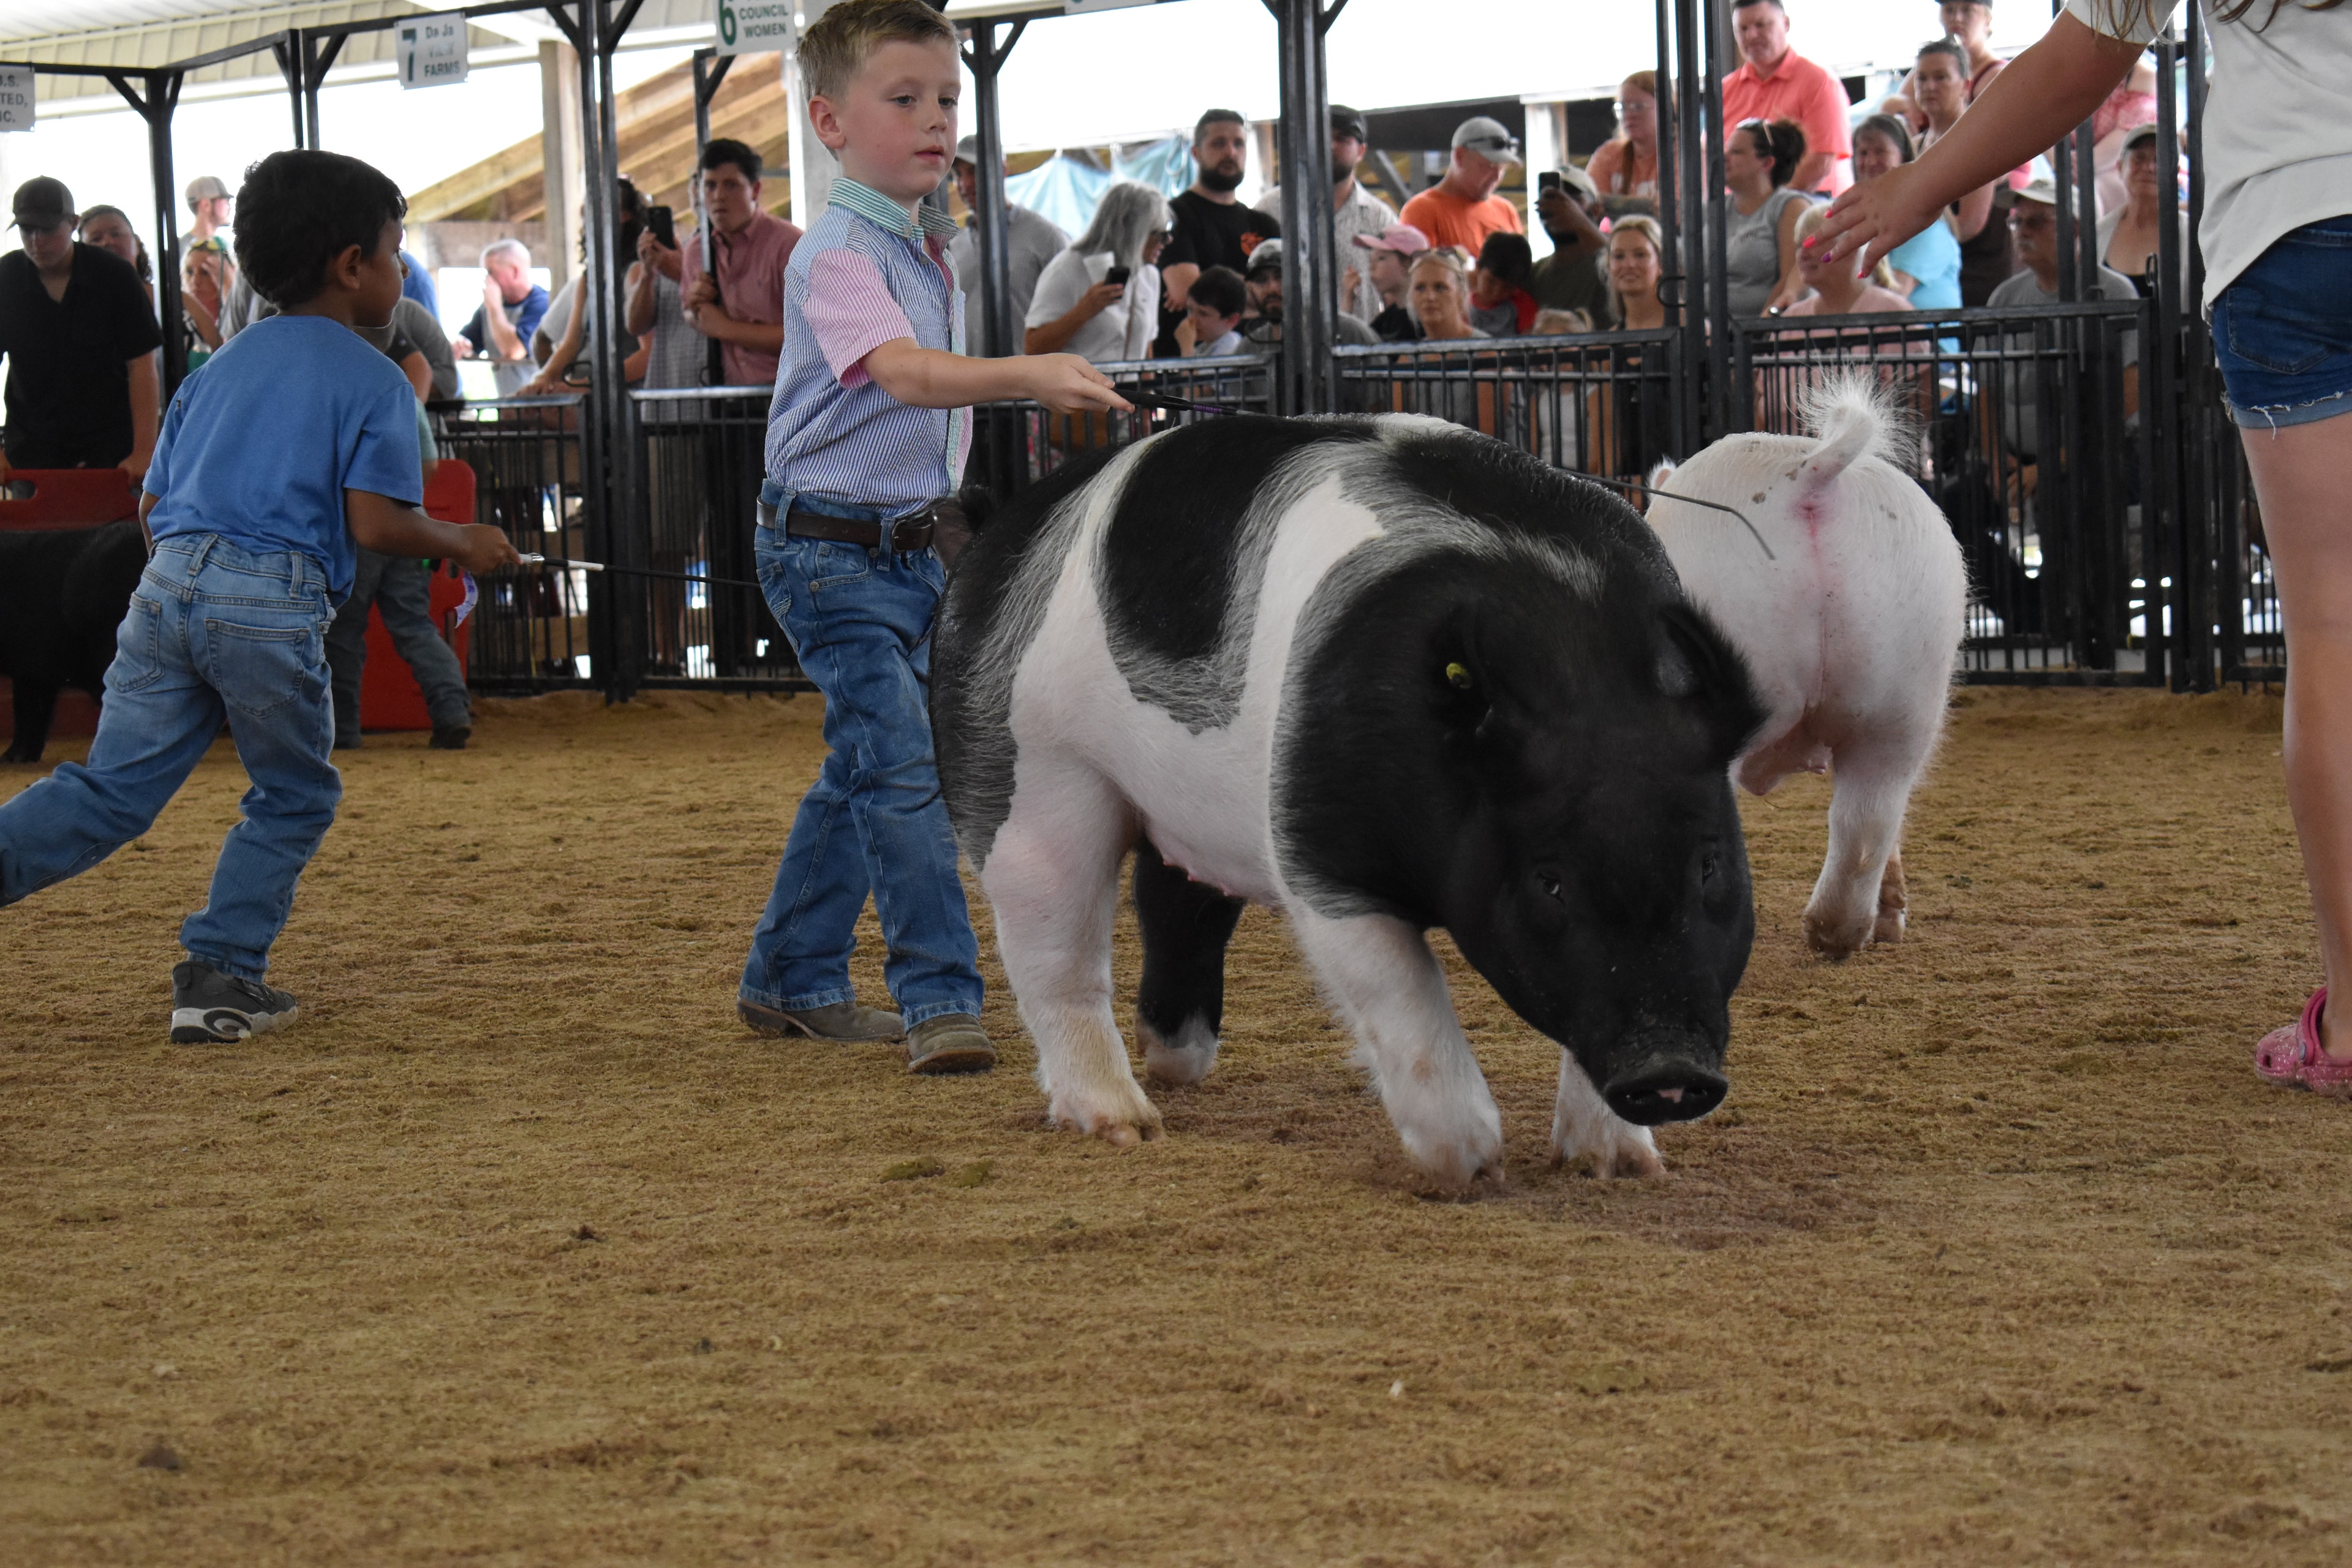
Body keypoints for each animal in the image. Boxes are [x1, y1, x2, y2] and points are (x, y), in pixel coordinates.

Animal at [932, 414, 1767, 1183]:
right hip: (1031, 771)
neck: (1576, 667)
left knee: (1175, 901)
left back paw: (1177, 1062)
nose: (1671, 1071)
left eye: (1710, 864)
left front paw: (1621, 1168)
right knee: (1056, 957)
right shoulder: (1317, 848)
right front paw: (1469, 1166)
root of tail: (994, 531)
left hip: (1180, 808)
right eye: (1548, 879)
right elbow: (1401, 993)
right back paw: (1128, 1126)